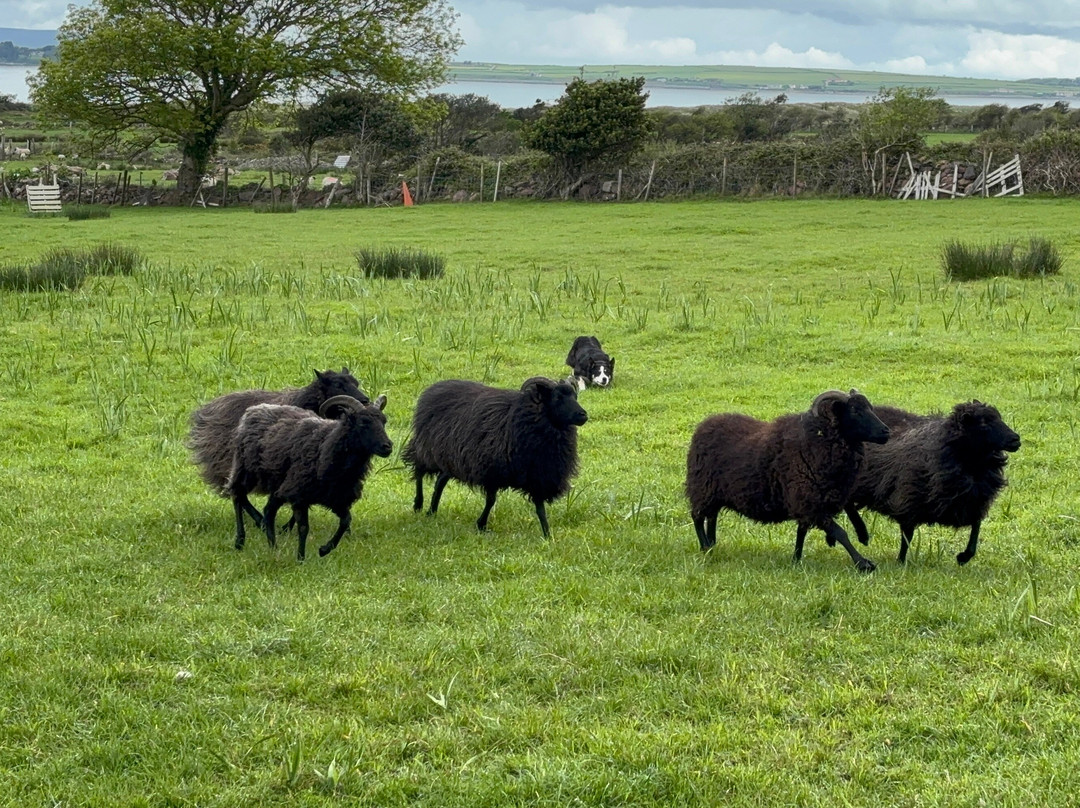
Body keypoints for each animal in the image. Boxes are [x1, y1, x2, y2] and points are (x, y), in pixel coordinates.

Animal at [188, 368, 369, 530]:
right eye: (338, 385)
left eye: (356, 383)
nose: (365, 401)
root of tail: (207, 409)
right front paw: (286, 527)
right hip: (233, 463)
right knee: (238, 493)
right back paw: (259, 520)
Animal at [227, 394, 392, 560]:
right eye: (363, 422)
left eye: (384, 421)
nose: (388, 446)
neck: (326, 446)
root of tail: (253, 410)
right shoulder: (299, 496)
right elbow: (303, 528)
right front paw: (301, 558)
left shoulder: (337, 499)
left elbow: (346, 521)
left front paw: (324, 549)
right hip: (246, 470)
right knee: (238, 496)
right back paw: (240, 540)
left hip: (279, 486)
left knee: (268, 511)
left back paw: (273, 546)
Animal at [402, 377, 588, 537]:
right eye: (557, 398)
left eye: (575, 396)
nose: (583, 415)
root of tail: (433, 388)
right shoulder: (491, 471)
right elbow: (491, 501)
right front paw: (481, 525)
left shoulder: (538, 477)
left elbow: (540, 508)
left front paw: (547, 535)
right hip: (427, 449)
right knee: (419, 471)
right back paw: (418, 504)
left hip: (451, 457)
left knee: (440, 481)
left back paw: (432, 511)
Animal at [685, 389, 890, 572]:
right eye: (855, 411)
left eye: (870, 407)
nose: (886, 431)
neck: (819, 440)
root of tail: (703, 425)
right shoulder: (810, 502)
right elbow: (840, 533)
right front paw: (863, 563)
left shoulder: (809, 501)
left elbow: (803, 532)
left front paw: (796, 559)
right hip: (702, 487)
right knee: (697, 516)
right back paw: (705, 547)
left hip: (715, 492)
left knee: (712, 517)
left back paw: (712, 545)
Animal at [842, 400, 1021, 565]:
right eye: (983, 423)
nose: (1015, 439)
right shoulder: (908, 500)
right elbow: (907, 536)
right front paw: (901, 562)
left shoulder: (972, 503)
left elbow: (976, 527)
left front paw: (964, 557)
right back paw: (862, 533)